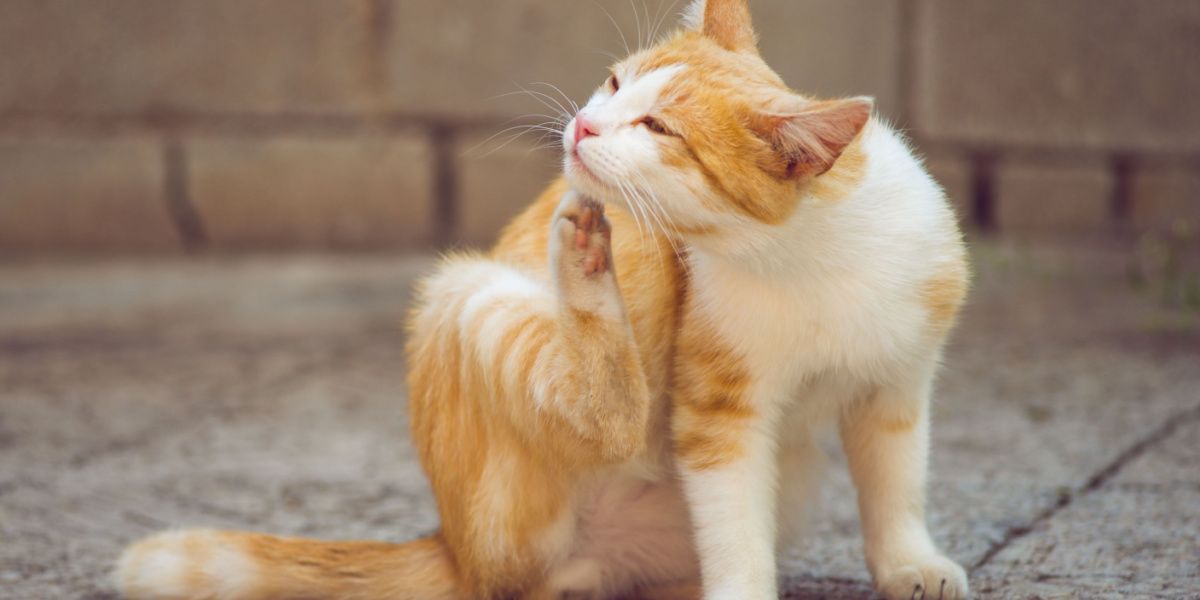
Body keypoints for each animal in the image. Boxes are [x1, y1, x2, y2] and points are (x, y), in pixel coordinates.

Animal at [117, 1, 969, 600]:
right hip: (467, 299)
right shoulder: (719, 417)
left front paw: (909, 564)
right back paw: (585, 262)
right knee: (609, 424)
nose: (585, 126)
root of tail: (453, 547)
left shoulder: (899, 384)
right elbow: (732, 527)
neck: (809, 251)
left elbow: (896, 483)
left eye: (659, 127)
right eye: (617, 83)